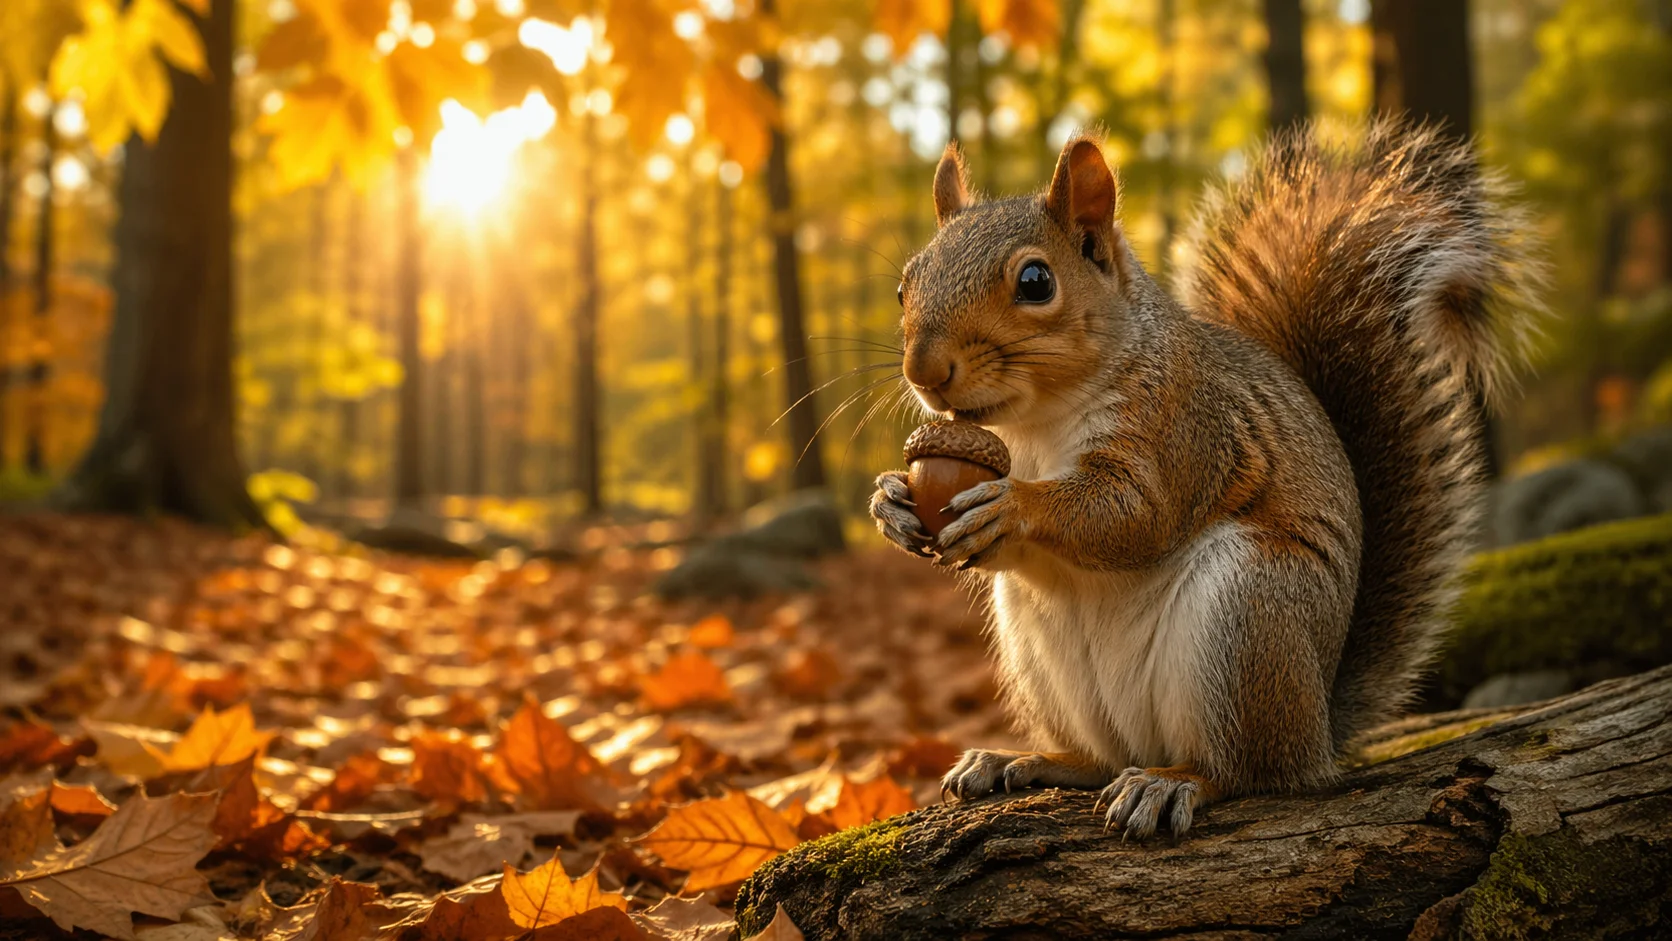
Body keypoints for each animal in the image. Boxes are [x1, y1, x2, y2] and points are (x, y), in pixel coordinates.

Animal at [869, 122, 1541, 839]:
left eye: (1035, 280)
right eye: (904, 286)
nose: (923, 369)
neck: (1034, 425)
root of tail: (1318, 728)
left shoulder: (1188, 429)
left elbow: (1137, 515)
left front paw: (1015, 506)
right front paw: (891, 503)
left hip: (1249, 618)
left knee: (1246, 771)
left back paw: (1172, 783)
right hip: (1039, 654)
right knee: (1100, 760)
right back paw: (1021, 758)